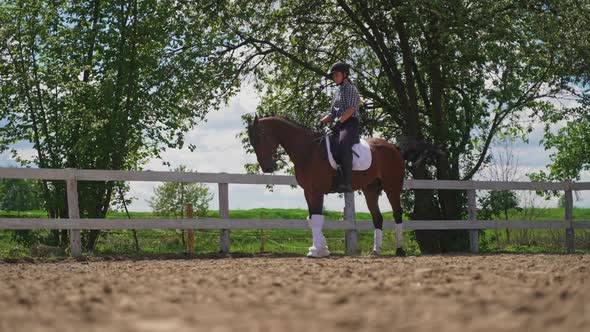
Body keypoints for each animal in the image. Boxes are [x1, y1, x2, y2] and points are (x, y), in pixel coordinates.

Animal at [249, 115, 408, 258]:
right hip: (371, 189)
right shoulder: (309, 191)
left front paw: (317, 251)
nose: (267, 168)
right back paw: (376, 251)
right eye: (252, 141)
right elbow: (313, 218)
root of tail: (393, 147)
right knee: (377, 217)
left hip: (392, 186)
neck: (309, 150)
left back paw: (400, 250)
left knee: (397, 213)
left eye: (261, 136)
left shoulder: (316, 190)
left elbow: (316, 218)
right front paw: (321, 249)